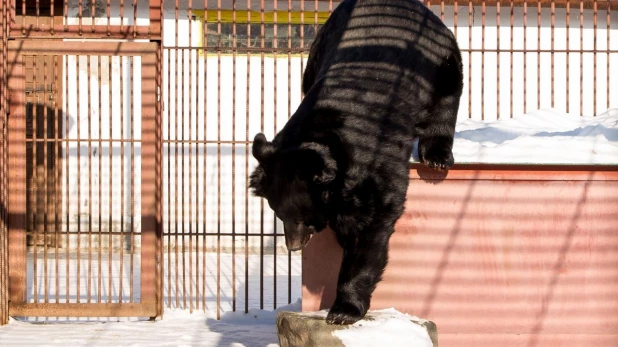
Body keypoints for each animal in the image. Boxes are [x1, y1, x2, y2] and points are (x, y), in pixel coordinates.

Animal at [248, 0, 460, 326]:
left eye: (303, 217)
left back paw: (436, 156)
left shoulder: (374, 163)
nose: (294, 245)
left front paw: (342, 311)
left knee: (446, 100)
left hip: (441, 58)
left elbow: (370, 224)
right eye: (278, 213)